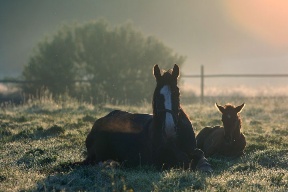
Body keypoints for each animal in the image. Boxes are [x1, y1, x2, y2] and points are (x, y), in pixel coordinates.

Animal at [83, 64, 212, 171]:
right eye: (157, 96)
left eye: (177, 93)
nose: (169, 129)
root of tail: (100, 121)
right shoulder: (159, 158)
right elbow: (183, 159)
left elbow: (200, 155)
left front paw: (205, 166)